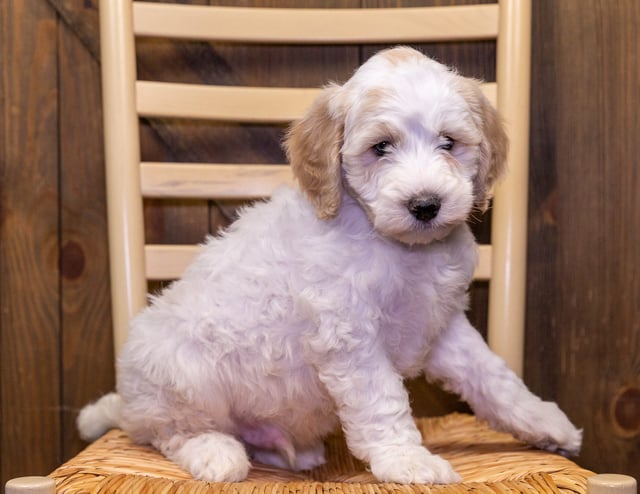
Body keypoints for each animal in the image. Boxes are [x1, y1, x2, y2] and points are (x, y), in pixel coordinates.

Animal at [77, 48, 584, 484]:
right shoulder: (350, 335)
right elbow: (383, 402)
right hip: (182, 376)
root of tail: (127, 403)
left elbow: (492, 376)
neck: (403, 249)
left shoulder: (442, 327)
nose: (426, 205)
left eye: (448, 143)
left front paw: (546, 421)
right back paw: (215, 452)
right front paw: (406, 460)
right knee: (168, 432)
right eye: (381, 147)